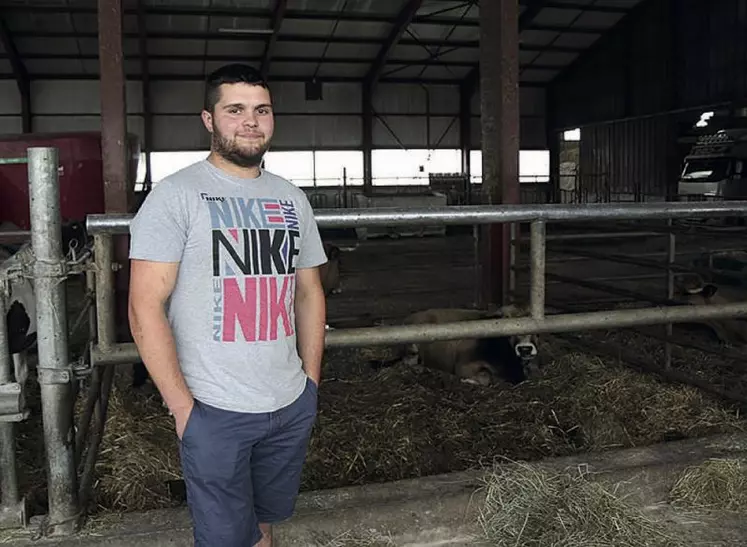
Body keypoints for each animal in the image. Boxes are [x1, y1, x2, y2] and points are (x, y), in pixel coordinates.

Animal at [374, 306, 544, 388]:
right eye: (507, 322)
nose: (525, 348)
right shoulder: (463, 366)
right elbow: (486, 379)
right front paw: (467, 381)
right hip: (412, 348)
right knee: (408, 362)